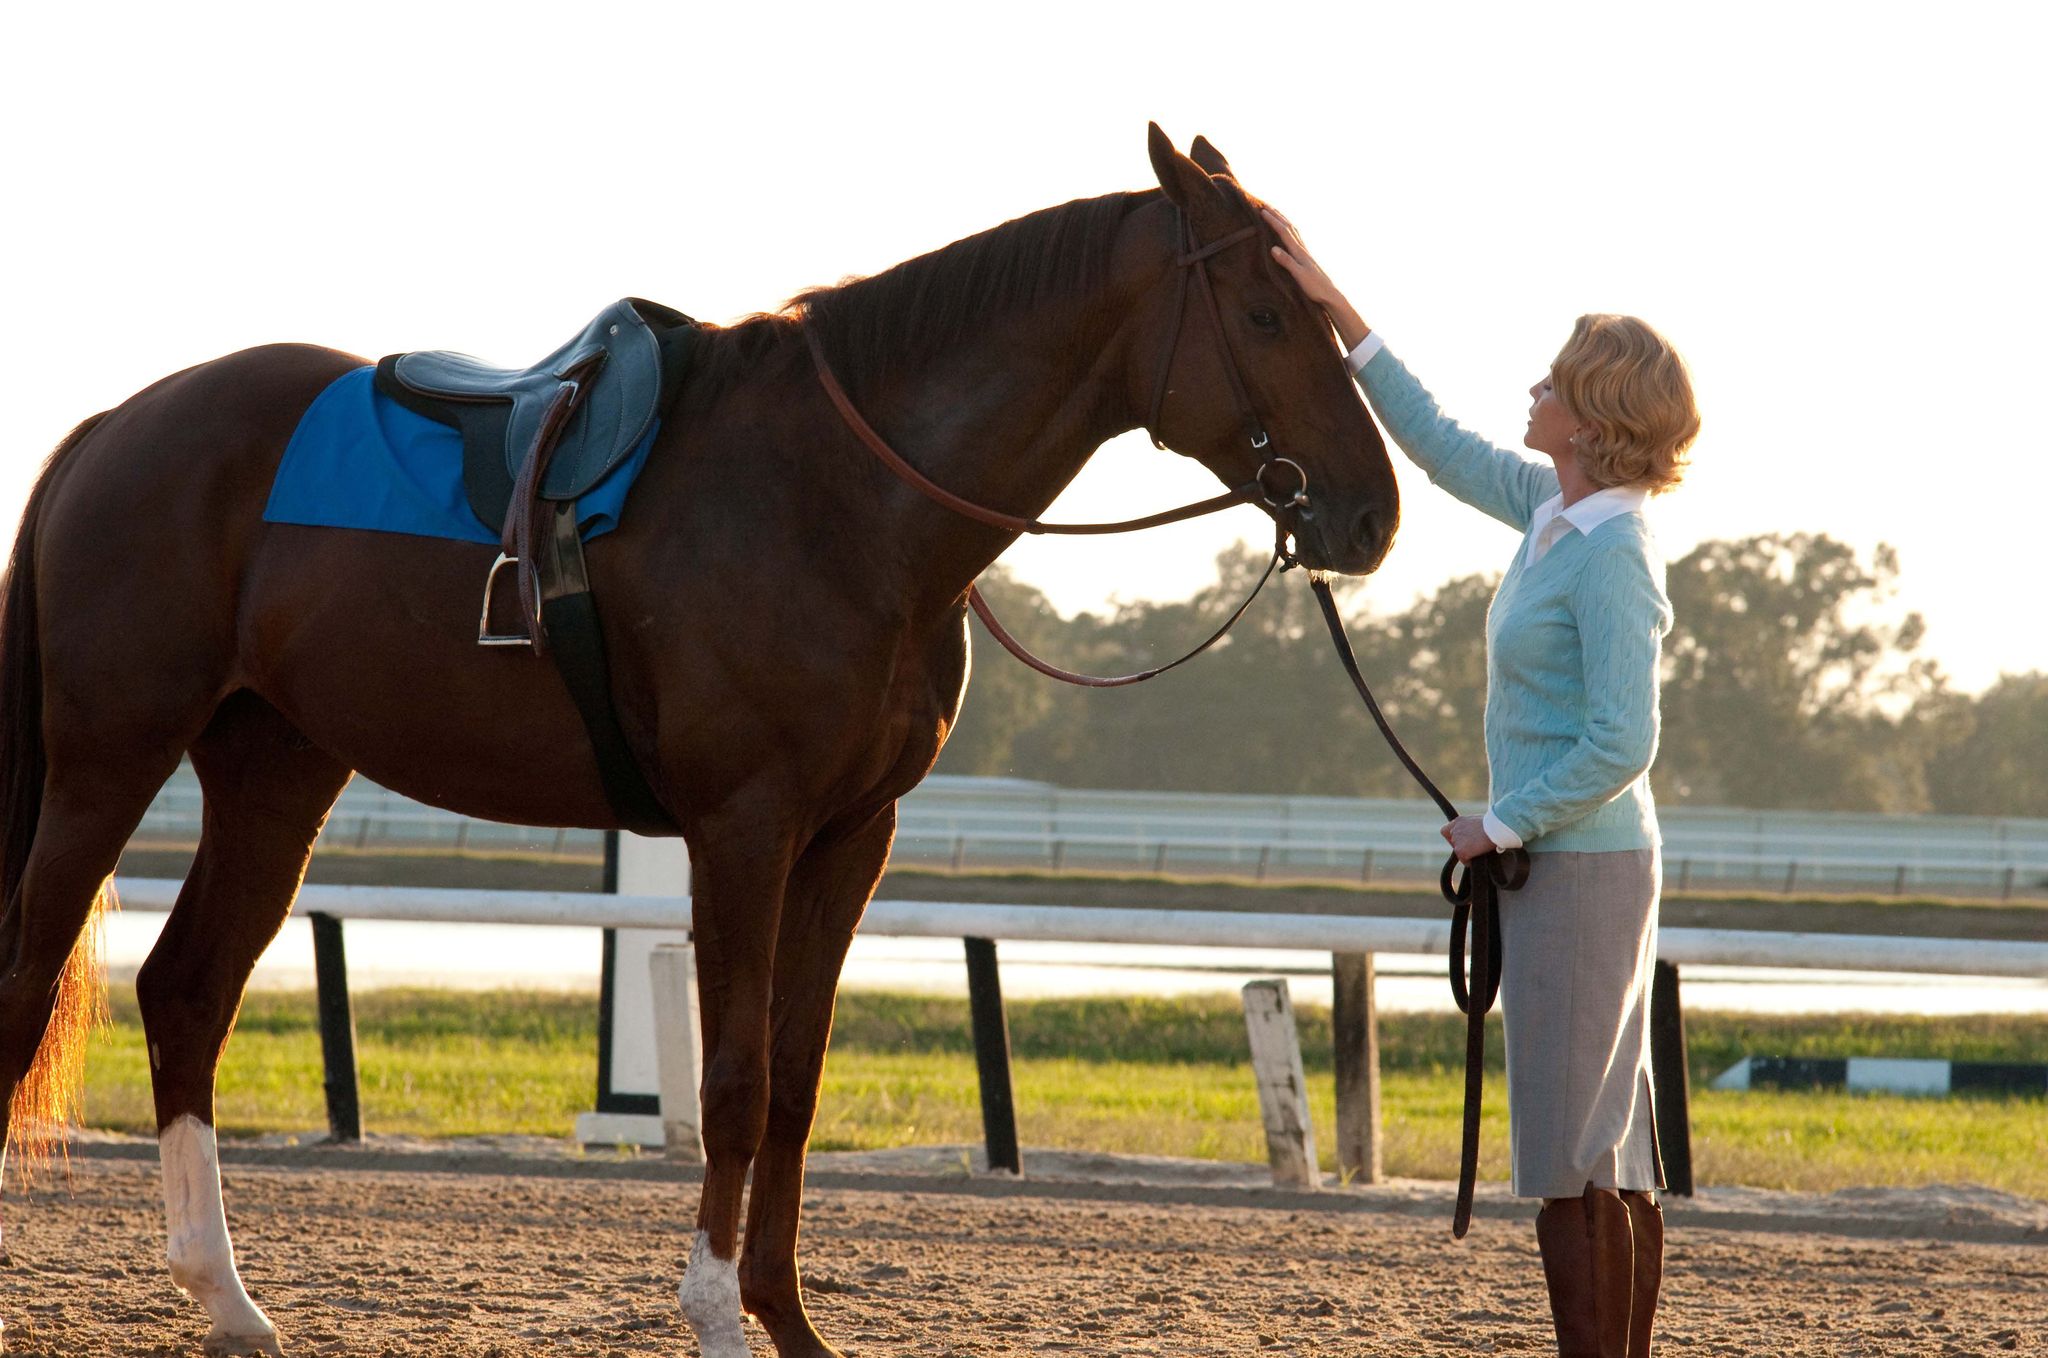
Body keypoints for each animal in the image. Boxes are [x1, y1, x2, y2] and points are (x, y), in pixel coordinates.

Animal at [0, 130, 1392, 1358]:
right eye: (1263, 314)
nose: (1371, 513)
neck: (844, 500)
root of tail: (120, 420)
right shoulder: (745, 827)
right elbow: (729, 1079)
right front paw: (720, 1311)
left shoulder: (850, 836)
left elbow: (791, 1077)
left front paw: (787, 1317)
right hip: (109, 759)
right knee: (30, 978)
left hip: (276, 769)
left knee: (188, 992)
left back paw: (228, 1297)